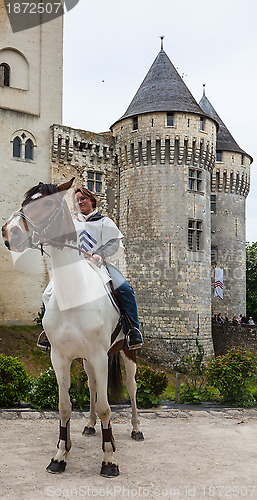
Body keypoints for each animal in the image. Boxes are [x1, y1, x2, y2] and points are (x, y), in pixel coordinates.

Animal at [2, 180, 143, 476]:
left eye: (47, 203)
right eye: (24, 202)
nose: (10, 231)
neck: (74, 295)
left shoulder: (100, 356)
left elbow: (106, 407)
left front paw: (109, 459)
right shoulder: (60, 357)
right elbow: (65, 406)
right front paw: (60, 455)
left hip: (127, 352)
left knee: (132, 387)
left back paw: (136, 429)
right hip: (88, 360)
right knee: (92, 386)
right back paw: (89, 426)